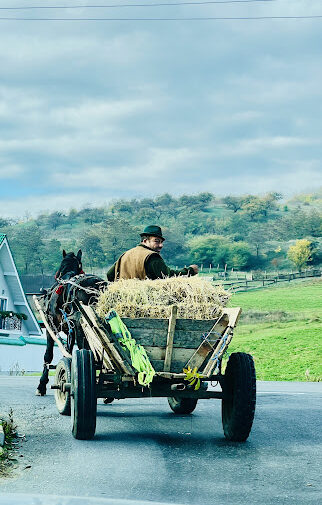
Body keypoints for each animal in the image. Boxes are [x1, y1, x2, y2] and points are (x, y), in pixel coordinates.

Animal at [36, 250, 107, 396]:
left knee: (86, 352)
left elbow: (48, 355)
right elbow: (67, 352)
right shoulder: (70, 331)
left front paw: (42, 384)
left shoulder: (51, 327)